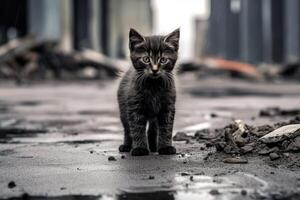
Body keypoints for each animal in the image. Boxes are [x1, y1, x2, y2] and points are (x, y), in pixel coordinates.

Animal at [117, 28, 179, 156]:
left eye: (163, 60)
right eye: (146, 59)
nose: (154, 70)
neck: (153, 86)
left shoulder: (168, 107)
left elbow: (166, 128)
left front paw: (165, 147)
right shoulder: (134, 107)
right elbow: (137, 128)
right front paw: (140, 149)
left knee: (153, 128)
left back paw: (154, 146)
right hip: (123, 110)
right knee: (127, 129)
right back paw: (126, 146)